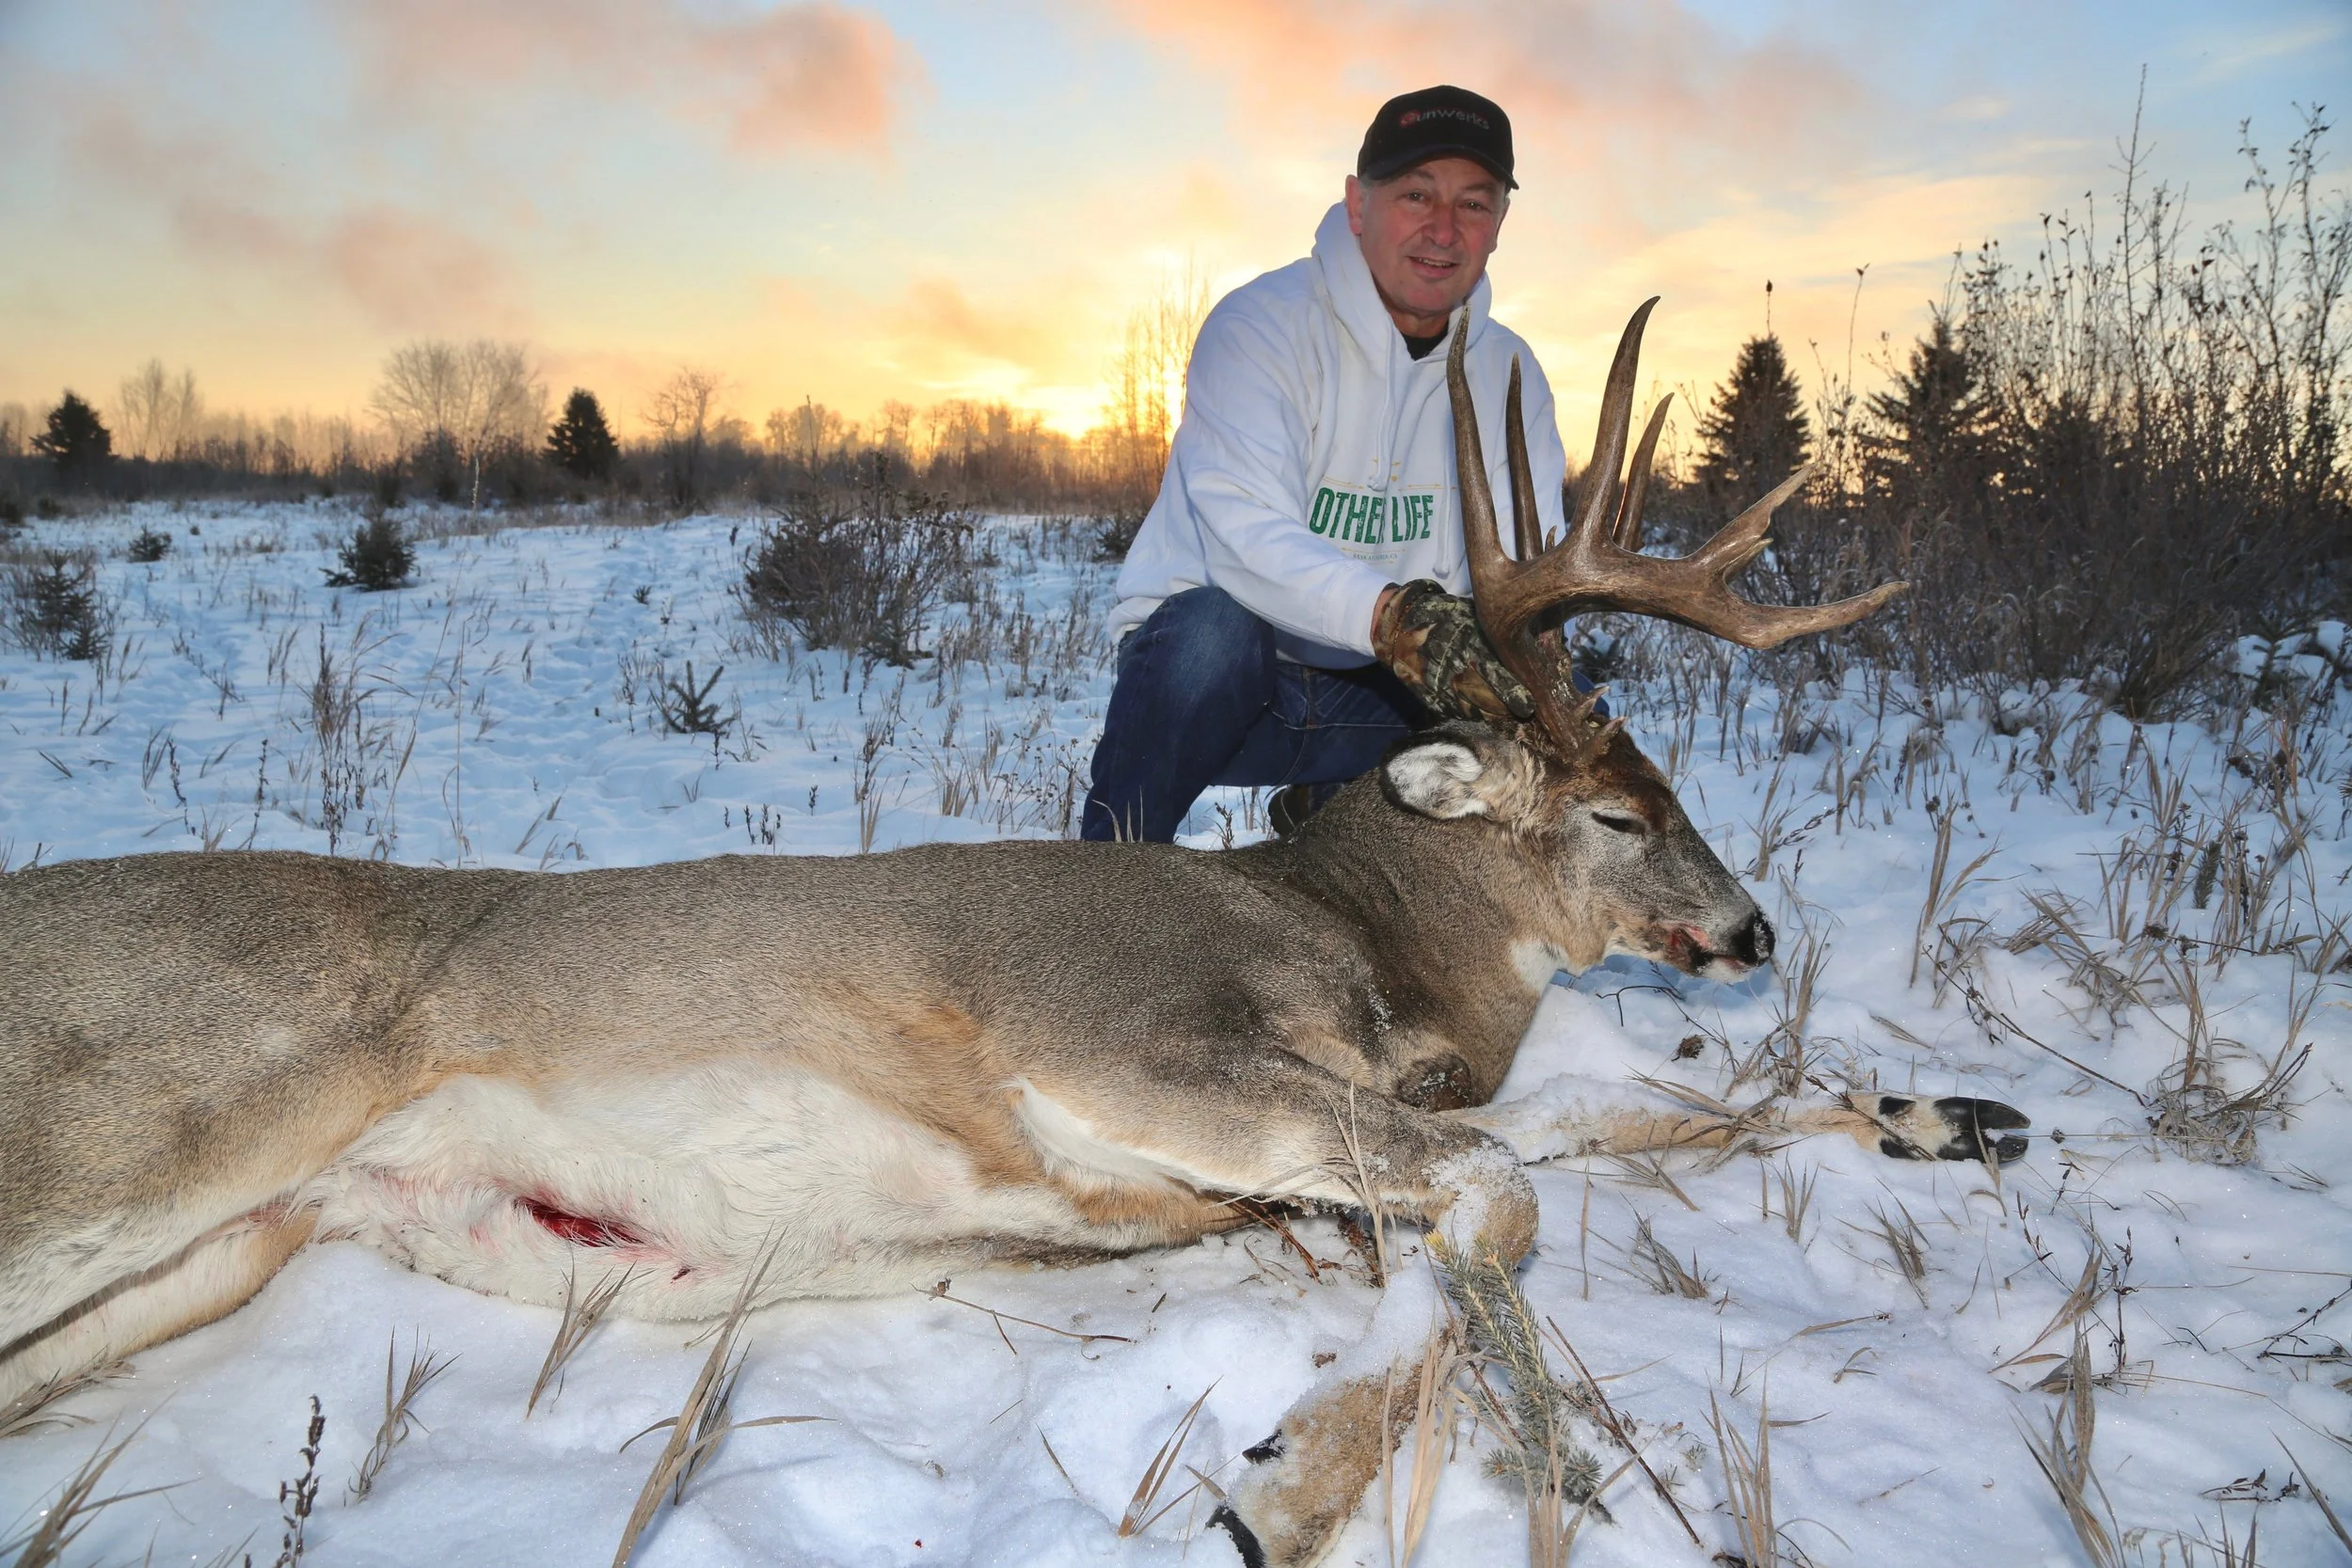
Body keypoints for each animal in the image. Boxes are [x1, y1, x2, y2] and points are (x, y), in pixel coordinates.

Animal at [0, 301, 2025, 1567]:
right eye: (1615, 813)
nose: (1747, 928)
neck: (1355, 942)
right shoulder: (1139, 1042)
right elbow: (1495, 1188)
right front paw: (1282, 1487)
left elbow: (1604, 1123)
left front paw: (1954, 1114)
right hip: (155, 1123)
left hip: (233, 1241)